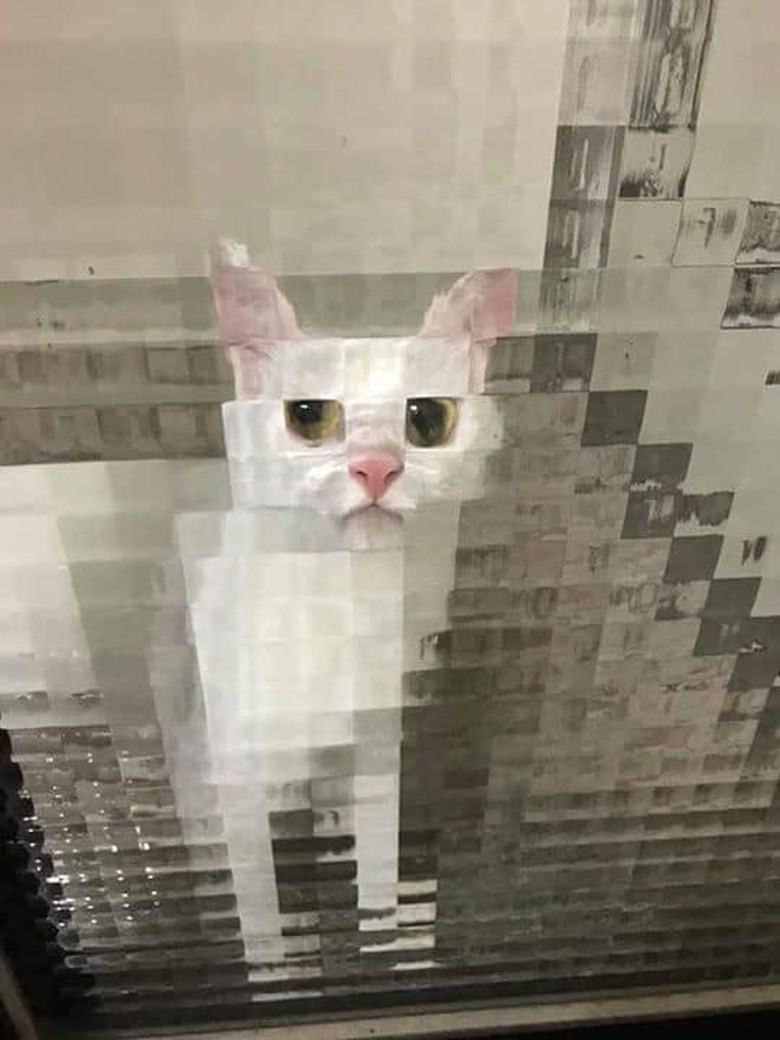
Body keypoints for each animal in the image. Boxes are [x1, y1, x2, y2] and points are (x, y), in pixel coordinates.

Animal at [178, 239, 520, 977]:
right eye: (309, 416)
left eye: (428, 419)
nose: (376, 468)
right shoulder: (238, 765)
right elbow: (261, 906)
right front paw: (278, 972)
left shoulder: (383, 737)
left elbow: (380, 865)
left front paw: (386, 938)